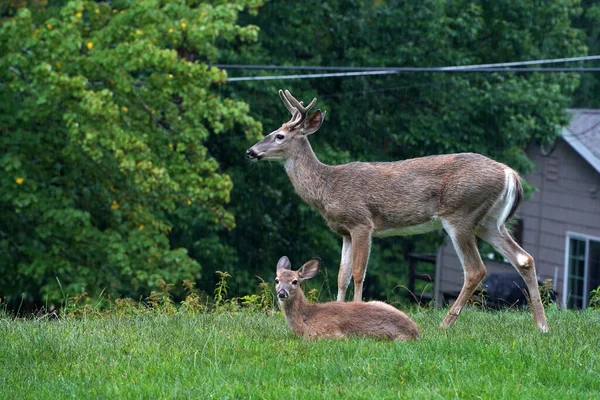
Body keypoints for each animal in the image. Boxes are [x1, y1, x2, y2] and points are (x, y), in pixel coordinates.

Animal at [276, 256, 420, 340]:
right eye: (276, 280)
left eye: (295, 281)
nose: (282, 293)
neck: (305, 318)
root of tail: (415, 331)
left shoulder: (324, 333)